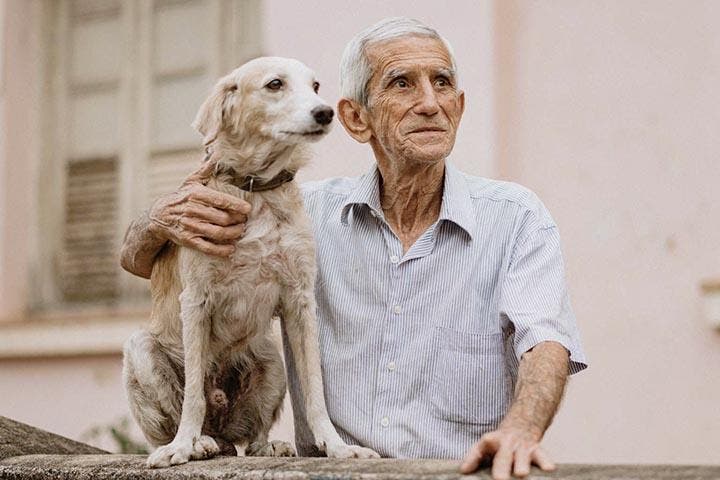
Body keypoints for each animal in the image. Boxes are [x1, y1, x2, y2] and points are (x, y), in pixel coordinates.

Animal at [122, 55, 382, 464]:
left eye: (315, 86)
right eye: (275, 84)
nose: (325, 113)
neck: (256, 189)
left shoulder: (300, 300)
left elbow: (315, 391)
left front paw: (338, 446)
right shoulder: (195, 300)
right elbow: (192, 396)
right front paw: (181, 445)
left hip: (271, 360)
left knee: (251, 432)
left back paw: (265, 444)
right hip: (141, 350)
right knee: (182, 414)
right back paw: (197, 443)